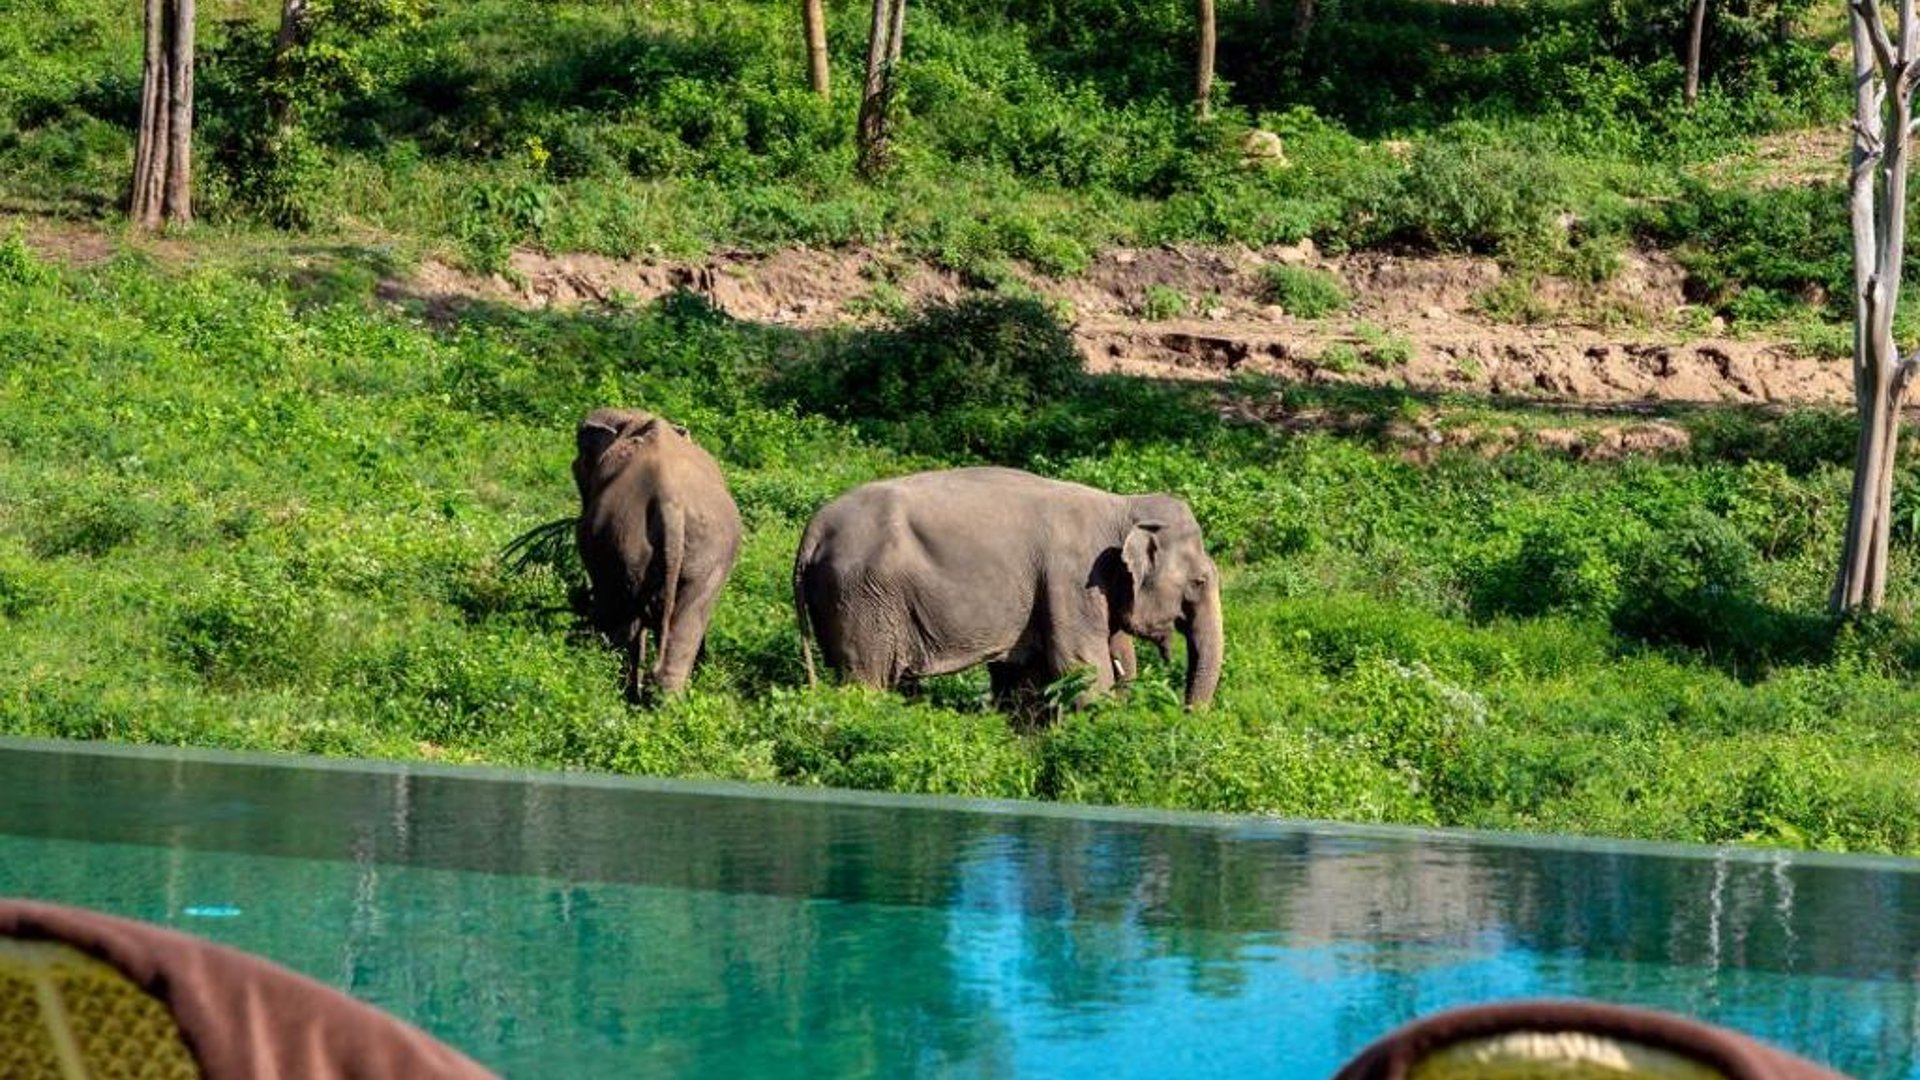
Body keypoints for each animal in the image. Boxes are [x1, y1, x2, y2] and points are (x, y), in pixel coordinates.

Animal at [574, 407, 741, 701]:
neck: (633, 417)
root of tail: (670, 503)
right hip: (708, 553)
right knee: (689, 618)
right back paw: (661, 699)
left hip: (621, 541)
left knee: (619, 611)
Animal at [792, 466, 1223, 714]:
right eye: (1199, 581)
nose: (1183, 716)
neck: (1122, 507)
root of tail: (814, 529)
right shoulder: (1071, 579)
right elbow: (1081, 667)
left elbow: (1024, 677)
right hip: (862, 597)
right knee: (867, 680)